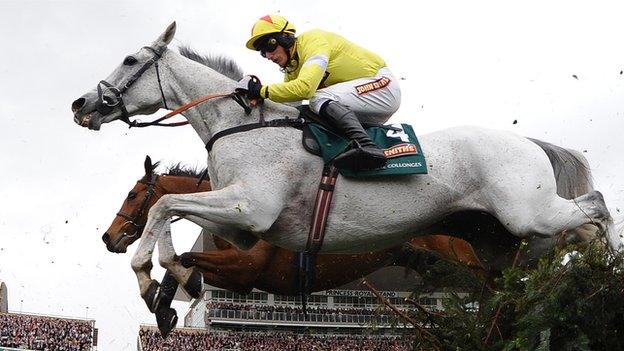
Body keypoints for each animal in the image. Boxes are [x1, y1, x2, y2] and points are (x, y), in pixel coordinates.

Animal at [70, 22, 616, 320]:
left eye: (129, 60)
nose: (82, 104)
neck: (240, 125)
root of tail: (528, 141)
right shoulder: (242, 227)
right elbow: (171, 218)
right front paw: (171, 282)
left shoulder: (251, 210)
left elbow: (164, 203)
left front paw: (149, 277)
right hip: (501, 240)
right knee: (563, 242)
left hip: (529, 212)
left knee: (597, 206)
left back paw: (610, 270)